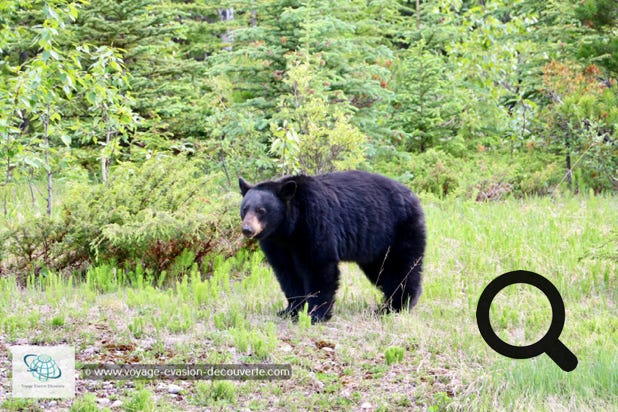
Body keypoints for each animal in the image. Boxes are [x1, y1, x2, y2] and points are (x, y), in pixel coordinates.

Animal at [239, 170, 424, 322]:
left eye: (261, 210)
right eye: (245, 209)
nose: (247, 229)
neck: (288, 228)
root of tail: (413, 196)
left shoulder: (314, 223)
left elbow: (318, 266)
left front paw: (315, 314)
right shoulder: (276, 243)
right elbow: (287, 273)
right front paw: (291, 310)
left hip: (399, 230)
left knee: (401, 268)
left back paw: (396, 307)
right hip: (375, 246)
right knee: (382, 270)